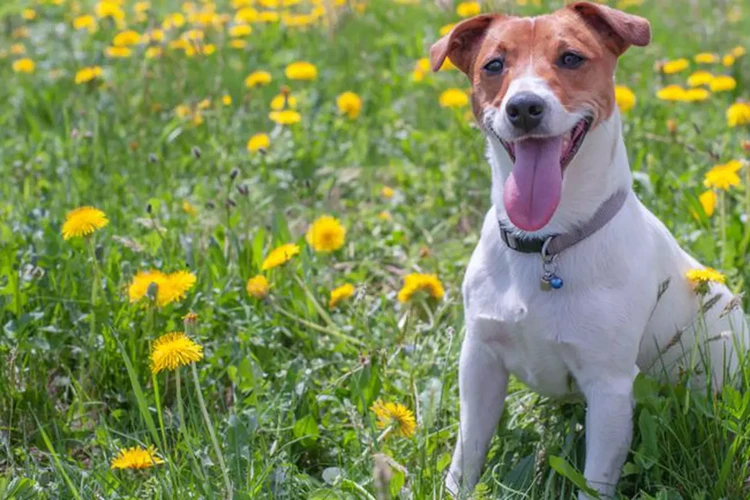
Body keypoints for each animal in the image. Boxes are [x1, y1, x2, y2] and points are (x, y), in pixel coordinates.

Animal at [432, 1, 748, 498]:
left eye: (571, 58)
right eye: (494, 65)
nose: (524, 107)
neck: (546, 244)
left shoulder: (610, 389)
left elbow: (594, 479)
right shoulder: (479, 361)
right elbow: (468, 451)